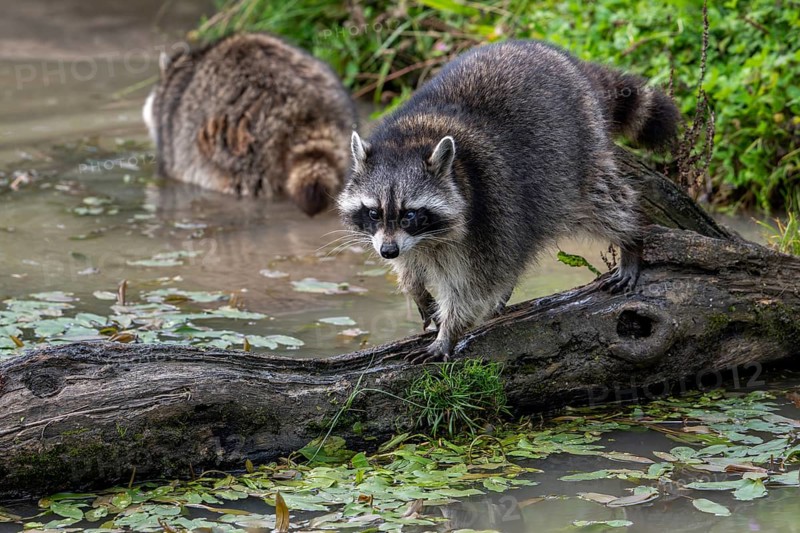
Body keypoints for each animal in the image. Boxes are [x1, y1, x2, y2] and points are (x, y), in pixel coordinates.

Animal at [338, 40, 680, 363]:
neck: (411, 140)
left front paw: (449, 332)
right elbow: (411, 266)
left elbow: (473, 289)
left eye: (410, 214)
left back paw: (630, 238)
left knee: (602, 202)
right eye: (373, 212)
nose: (387, 252)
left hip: (578, 152)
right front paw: (416, 289)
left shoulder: (488, 213)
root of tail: (557, 54)